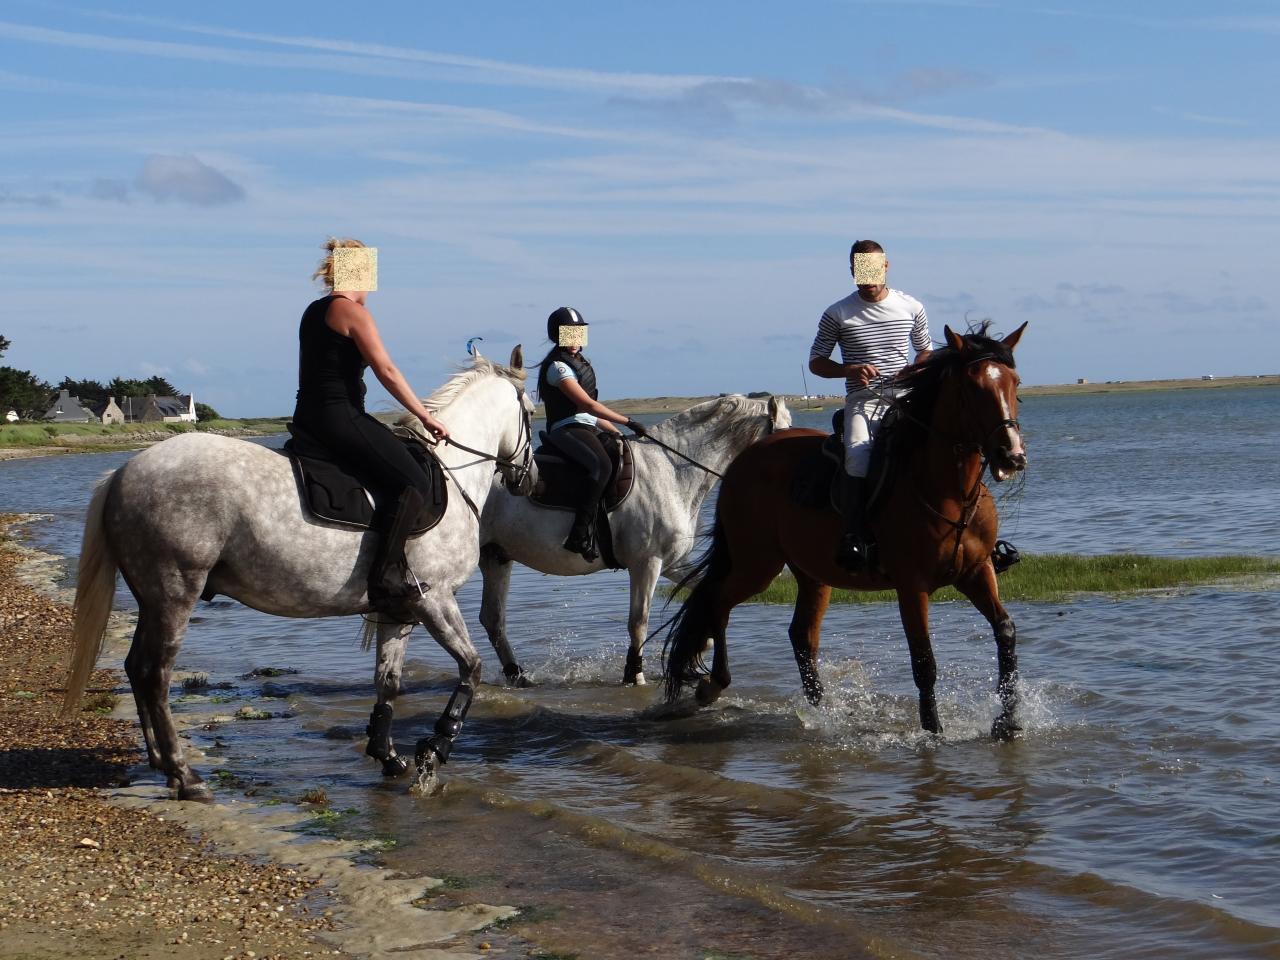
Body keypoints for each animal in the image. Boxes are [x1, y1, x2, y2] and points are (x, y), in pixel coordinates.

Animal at [63, 350, 535, 798]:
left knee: (136, 668)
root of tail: (123, 473)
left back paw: (163, 764)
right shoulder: (433, 598)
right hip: (175, 592)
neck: (452, 477)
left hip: (151, 597)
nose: (528, 479)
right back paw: (185, 776)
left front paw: (388, 756)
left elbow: (388, 682)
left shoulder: (398, 611)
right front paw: (434, 750)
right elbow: (471, 668)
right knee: (154, 673)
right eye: (531, 412)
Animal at [473, 394, 783, 686]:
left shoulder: (673, 563)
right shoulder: (647, 562)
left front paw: (698, 650)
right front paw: (635, 675)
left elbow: (704, 594)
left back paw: (517, 676)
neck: (672, 469)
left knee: (493, 620)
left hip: (495, 556)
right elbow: (638, 621)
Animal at [660, 327, 1029, 742]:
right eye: (972, 387)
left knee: (801, 635)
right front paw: (932, 730)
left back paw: (822, 710)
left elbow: (1005, 632)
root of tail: (745, 459)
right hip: (756, 565)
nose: (1012, 456)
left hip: (811, 572)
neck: (948, 493)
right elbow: (924, 660)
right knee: (718, 603)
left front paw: (1008, 722)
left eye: (1014, 383)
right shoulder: (912, 585)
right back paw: (713, 686)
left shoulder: (977, 571)